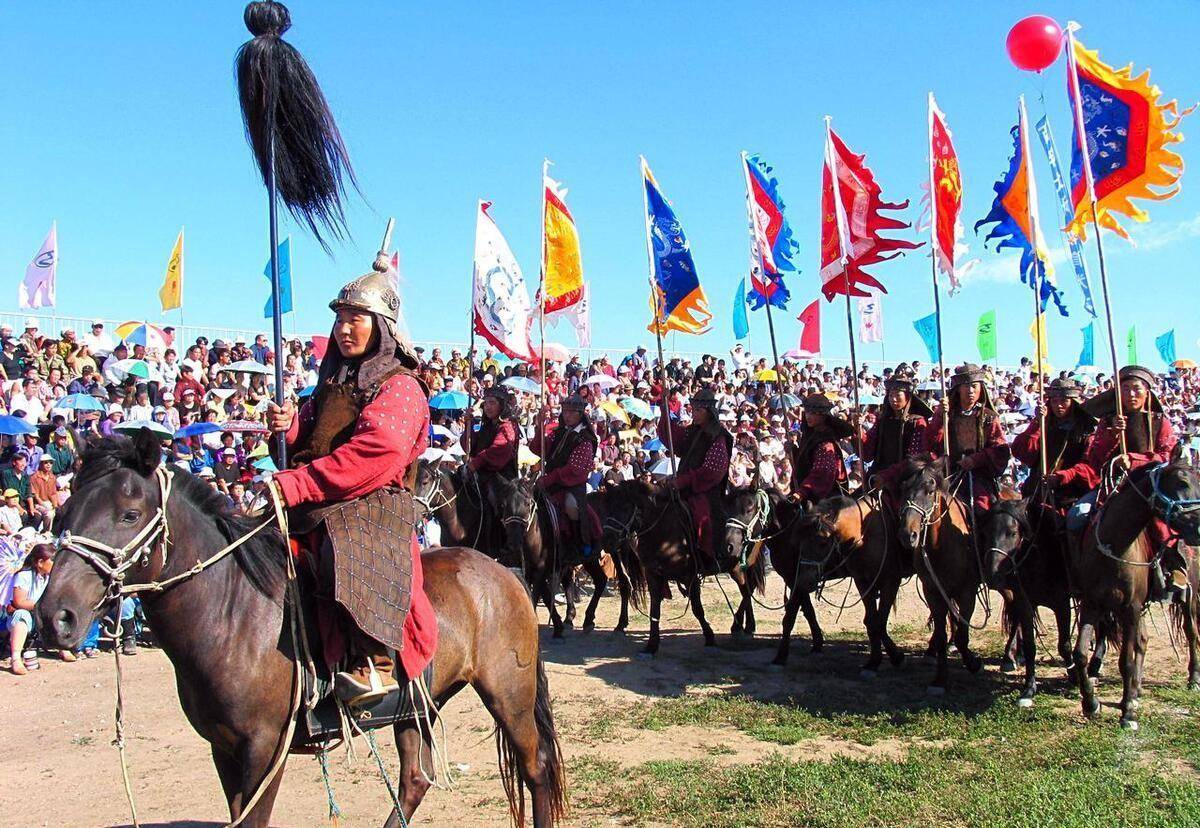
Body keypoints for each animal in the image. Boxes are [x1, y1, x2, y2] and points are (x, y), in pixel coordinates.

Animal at [36, 432, 561, 825]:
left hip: (508, 694)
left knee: (534, 768)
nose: (55, 617)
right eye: (65, 513)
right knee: (416, 779)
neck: (232, 614)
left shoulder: (265, 750)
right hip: (416, 704)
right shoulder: (224, 750)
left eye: (129, 514)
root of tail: (504, 573)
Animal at [902, 453, 984, 691]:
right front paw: (939, 679)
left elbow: (963, 635)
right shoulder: (933, 592)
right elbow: (940, 634)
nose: (908, 534)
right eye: (903, 488)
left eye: (930, 490)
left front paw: (973, 663)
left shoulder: (967, 592)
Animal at [984, 494, 1080, 705]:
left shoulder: (1062, 604)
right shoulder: (1024, 602)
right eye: (986, 530)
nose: (993, 575)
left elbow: (1064, 645)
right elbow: (1030, 646)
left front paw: (1075, 677)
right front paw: (1029, 688)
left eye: (1012, 532)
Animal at [1070, 460, 1200, 724]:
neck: (1116, 544)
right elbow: (1080, 654)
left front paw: (1128, 711)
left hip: (1188, 596)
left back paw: (1192, 678)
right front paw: (1091, 703)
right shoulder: (1092, 605)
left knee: (1191, 633)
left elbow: (1126, 661)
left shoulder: (1130, 607)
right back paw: (1136, 689)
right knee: (1143, 641)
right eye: (1182, 482)